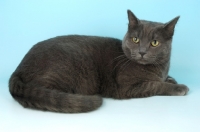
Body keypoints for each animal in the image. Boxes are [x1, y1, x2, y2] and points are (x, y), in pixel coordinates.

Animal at [8, 9, 189, 113]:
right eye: (136, 39)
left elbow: (164, 79)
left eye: (154, 43)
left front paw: (172, 79)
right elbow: (156, 85)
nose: (142, 52)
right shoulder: (127, 87)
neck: (161, 68)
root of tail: (18, 68)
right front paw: (178, 87)